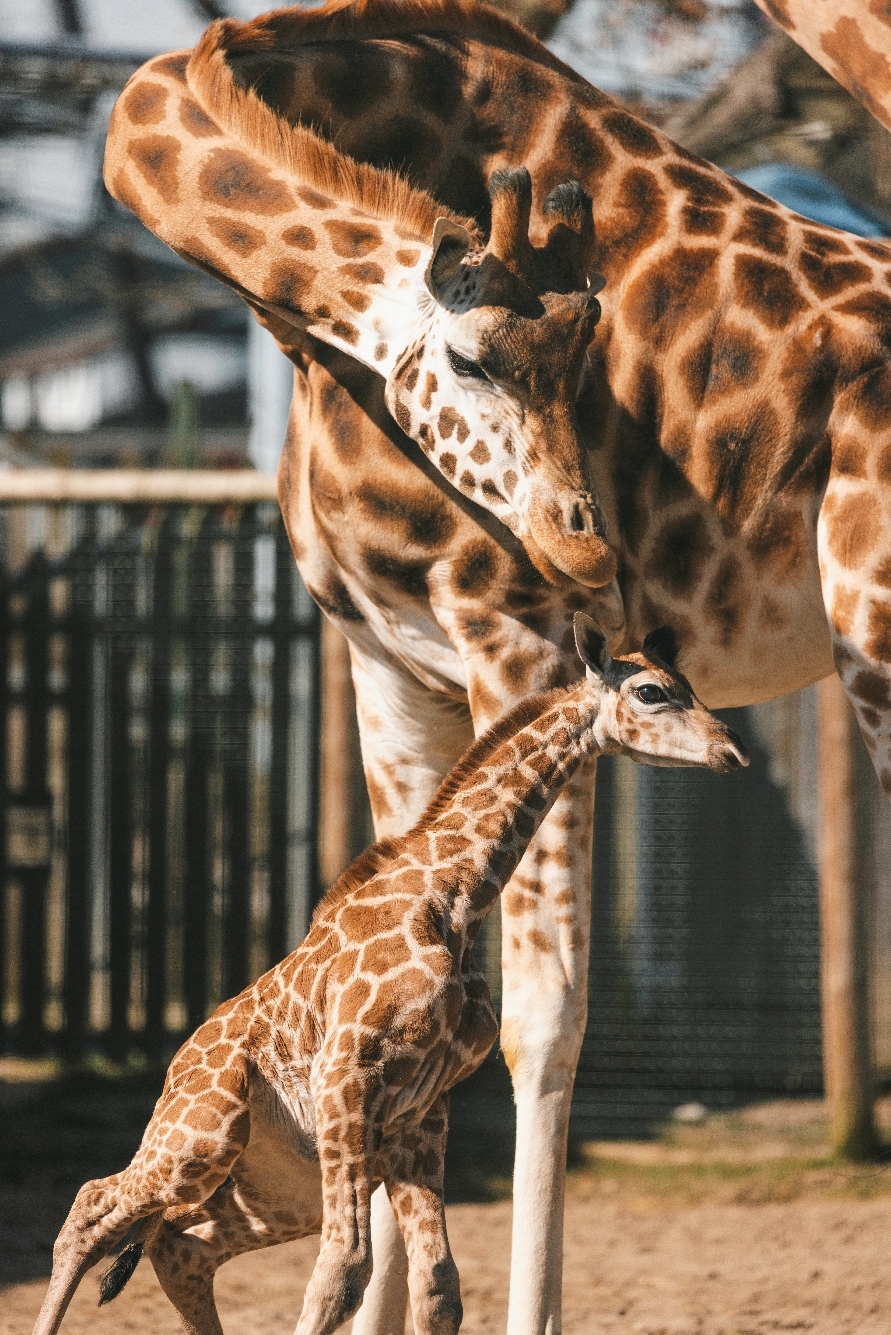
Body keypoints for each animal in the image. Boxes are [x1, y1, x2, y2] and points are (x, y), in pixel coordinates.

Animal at [32, 616, 746, 1335]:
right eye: (651, 692)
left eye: (689, 684)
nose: (731, 751)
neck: (456, 900)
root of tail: (177, 1065)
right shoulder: (347, 1075)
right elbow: (343, 1269)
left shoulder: (421, 1110)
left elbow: (438, 1285)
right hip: (202, 1135)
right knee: (93, 1206)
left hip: (279, 1183)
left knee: (180, 1242)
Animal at [102, 3, 891, 1331]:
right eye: (473, 361)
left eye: (589, 363)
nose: (585, 549)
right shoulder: (383, 654)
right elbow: (373, 964)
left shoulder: (514, 636)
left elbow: (542, 1015)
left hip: (874, 632)